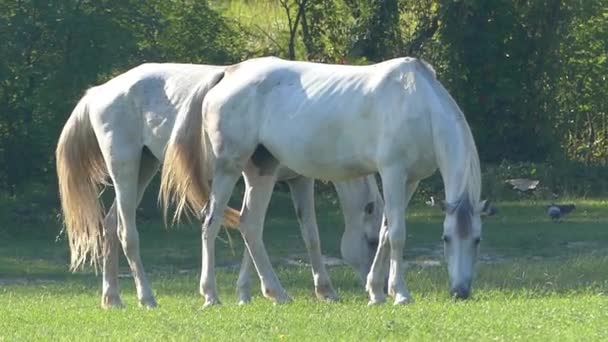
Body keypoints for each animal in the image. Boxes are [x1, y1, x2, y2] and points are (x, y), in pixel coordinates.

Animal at [54, 62, 382, 308]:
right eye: (371, 241)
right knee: (127, 233)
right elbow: (253, 231)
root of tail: (99, 91)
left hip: (143, 169)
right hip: (125, 168)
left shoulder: (298, 181)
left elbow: (306, 235)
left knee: (110, 225)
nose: (371, 286)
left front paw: (320, 291)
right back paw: (147, 297)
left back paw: (112, 298)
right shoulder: (255, 177)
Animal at [160, 56, 494, 308]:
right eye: (446, 239)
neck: (418, 104)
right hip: (228, 170)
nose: (460, 292)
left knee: (250, 226)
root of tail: (229, 73)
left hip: (261, 171)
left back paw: (277, 293)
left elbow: (386, 232)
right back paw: (211, 295)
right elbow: (398, 234)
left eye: (478, 240)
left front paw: (376, 292)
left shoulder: (408, 180)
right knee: (211, 223)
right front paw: (400, 293)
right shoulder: (392, 172)